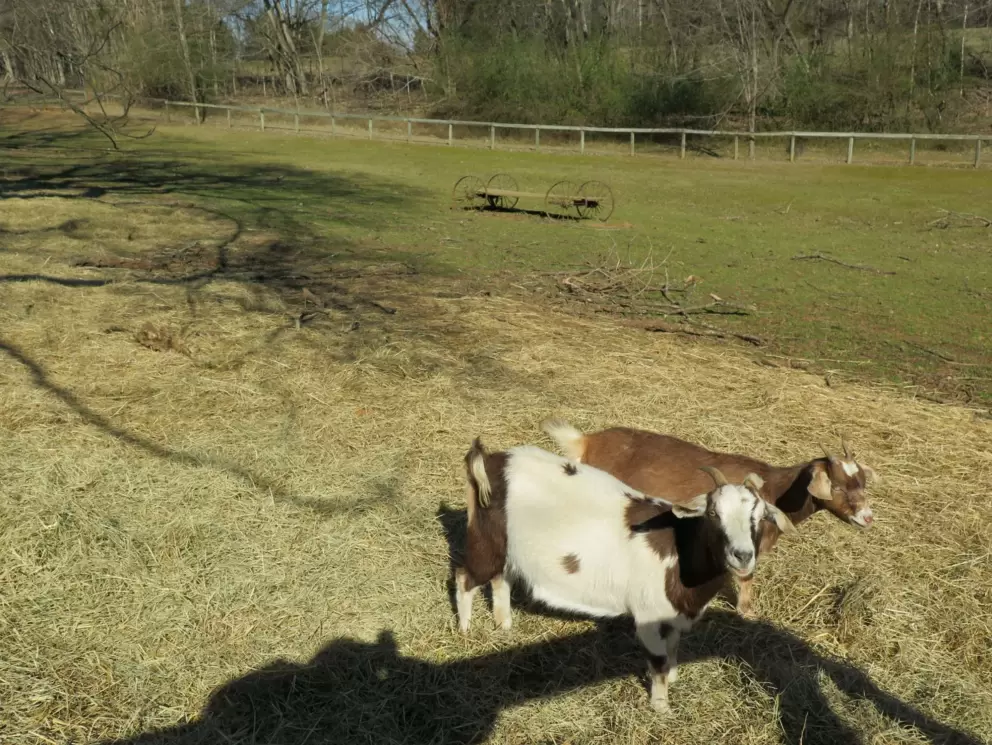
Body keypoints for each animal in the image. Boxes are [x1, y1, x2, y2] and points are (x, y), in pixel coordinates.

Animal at [455, 438, 796, 713]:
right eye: (713, 514)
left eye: (760, 517)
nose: (742, 555)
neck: (679, 551)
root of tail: (491, 461)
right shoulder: (648, 615)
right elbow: (657, 660)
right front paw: (661, 706)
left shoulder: (672, 615)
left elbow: (673, 649)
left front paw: (674, 677)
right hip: (484, 542)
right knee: (464, 578)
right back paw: (466, 628)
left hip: (504, 549)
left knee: (500, 579)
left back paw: (504, 624)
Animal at [541, 420, 877, 616]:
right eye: (836, 486)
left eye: (862, 482)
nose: (868, 517)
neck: (775, 488)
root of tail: (587, 441)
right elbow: (746, 576)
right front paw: (746, 612)